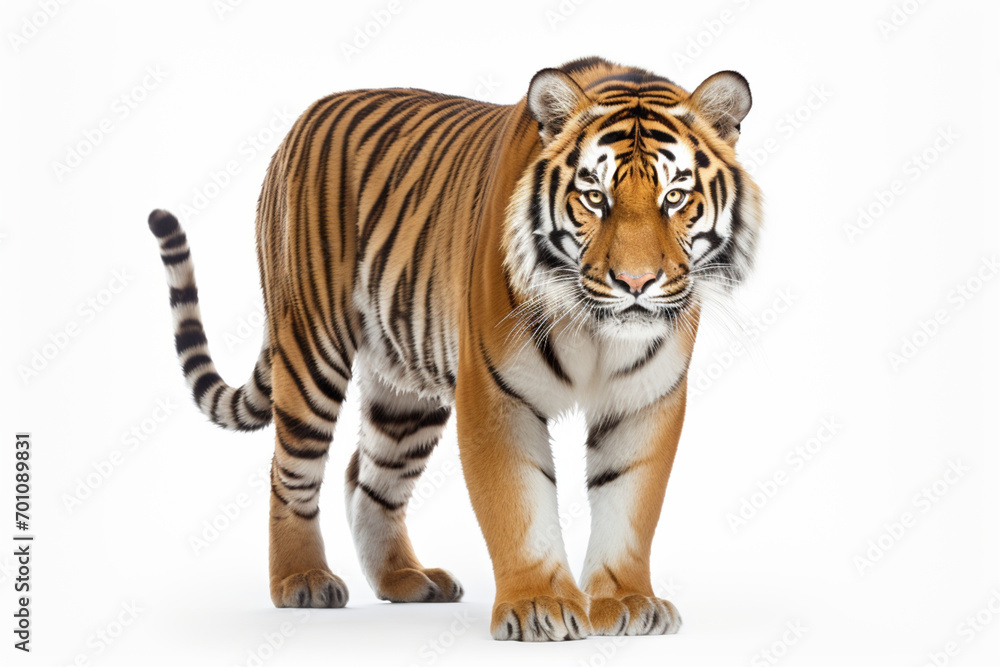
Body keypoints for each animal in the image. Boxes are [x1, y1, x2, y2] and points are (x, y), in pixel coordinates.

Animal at [148, 55, 762, 642]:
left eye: (675, 197)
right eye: (594, 197)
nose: (635, 283)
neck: (595, 328)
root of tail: (300, 121)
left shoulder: (645, 399)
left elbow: (631, 503)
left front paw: (627, 603)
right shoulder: (495, 392)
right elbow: (518, 502)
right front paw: (538, 606)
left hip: (404, 389)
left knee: (369, 479)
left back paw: (405, 579)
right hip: (310, 349)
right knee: (291, 473)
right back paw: (302, 580)